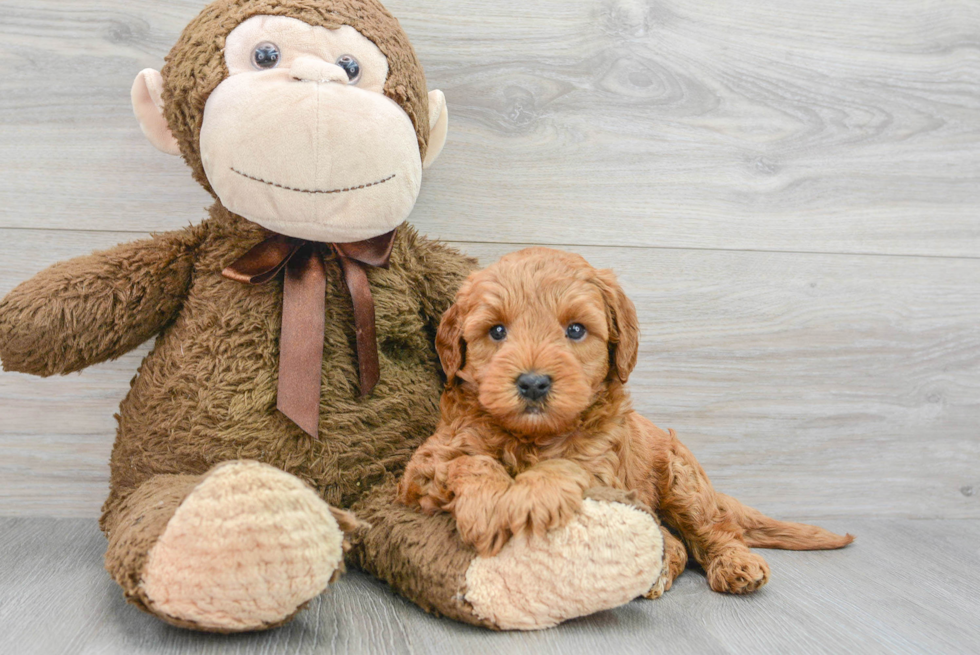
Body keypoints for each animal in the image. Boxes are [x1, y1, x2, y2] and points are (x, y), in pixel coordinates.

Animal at [396, 247, 848, 596]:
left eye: (576, 330)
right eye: (496, 331)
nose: (533, 383)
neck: (531, 438)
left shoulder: (605, 473)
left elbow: (565, 466)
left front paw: (530, 496)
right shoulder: (428, 462)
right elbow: (470, 461)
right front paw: (489, 507)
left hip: (682, 479)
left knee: (712, 531)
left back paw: (736, 566)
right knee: (673, 541)